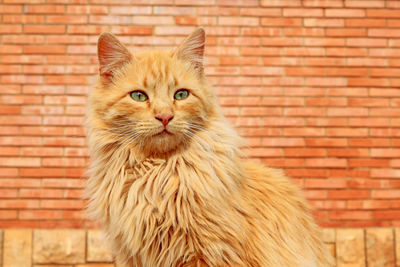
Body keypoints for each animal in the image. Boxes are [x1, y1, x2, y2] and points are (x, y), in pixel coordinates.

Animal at [86, 28, 336, 266]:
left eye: (181, 94)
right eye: (138, 96)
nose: (165, 116)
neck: (158, 173)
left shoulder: (212, 252)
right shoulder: (129, 254)